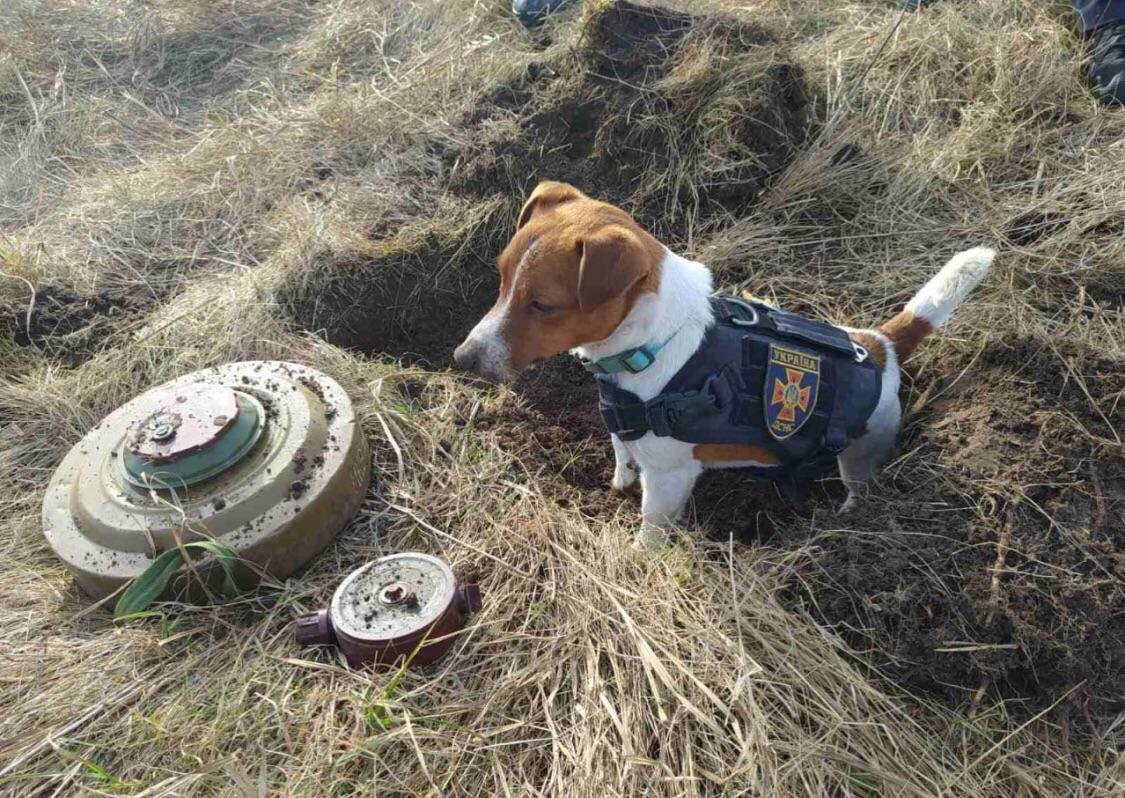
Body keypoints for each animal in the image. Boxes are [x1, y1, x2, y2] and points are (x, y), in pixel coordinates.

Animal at [454, 181, 995, 548]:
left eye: (543, 305)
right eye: (501, 278)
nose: (462, 358)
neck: (654, 342)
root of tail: (880, 344)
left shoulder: (669, 478)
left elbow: (651, 527)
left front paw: (638, 555)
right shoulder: (623, 428)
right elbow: (622, 454)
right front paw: (617, 483)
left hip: (862, 454)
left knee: (859, 487)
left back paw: (845, 517)